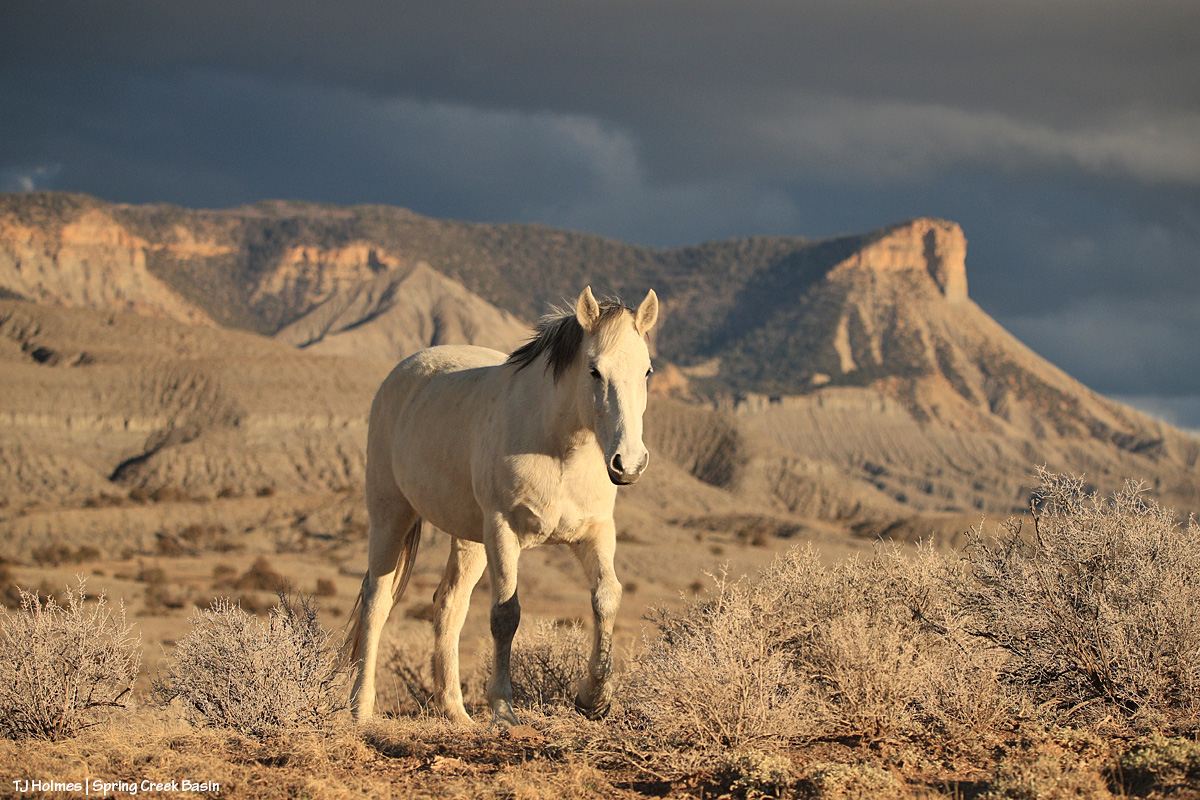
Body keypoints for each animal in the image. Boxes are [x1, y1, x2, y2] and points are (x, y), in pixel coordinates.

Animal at [345, 286, 658, 726]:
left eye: (647, 371)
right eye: (594, 370)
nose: (628, 464)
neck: (559, 448)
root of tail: (402, 374)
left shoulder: (594, 532)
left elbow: (606, 598)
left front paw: (593, 698)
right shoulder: (503, 529)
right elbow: (505, 614)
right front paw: (504, 710)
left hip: (469, 539)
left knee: (448, 605)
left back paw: (456, 713)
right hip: (391, 514)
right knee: (377, 601)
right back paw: (361, 709)